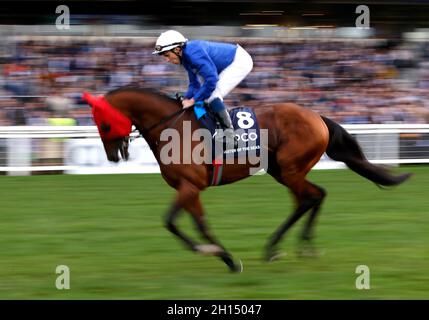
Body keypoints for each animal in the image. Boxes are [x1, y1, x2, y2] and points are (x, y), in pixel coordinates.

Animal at [82, 87, 410, 272]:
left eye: (104, 123)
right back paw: (286, 247)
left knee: (313, 196)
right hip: (283, 171)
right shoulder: (190, 189)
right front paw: (225, 257)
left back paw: (288, 246)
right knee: (309, 198)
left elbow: (172, 222)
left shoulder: (189, 186)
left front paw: (216, 254)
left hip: (291, 168)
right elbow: (198, 225)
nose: (113, 156)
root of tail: (317, 117)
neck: (172, 127)